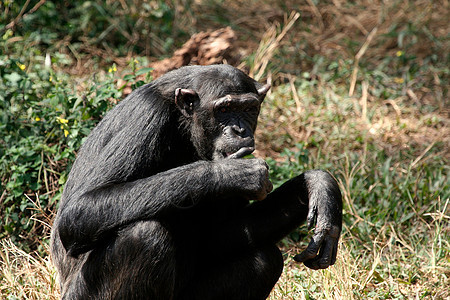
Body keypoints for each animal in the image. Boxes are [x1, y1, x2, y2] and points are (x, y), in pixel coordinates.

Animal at [51, 64, 342, 298]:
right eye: (224, 109)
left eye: (249, 108)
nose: (239, 129)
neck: (184, 123)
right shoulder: (145, 116)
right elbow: (79, 212)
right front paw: (232, 173)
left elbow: (220, 236)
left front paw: (318, 187)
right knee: (144, 236)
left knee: (265, 261)